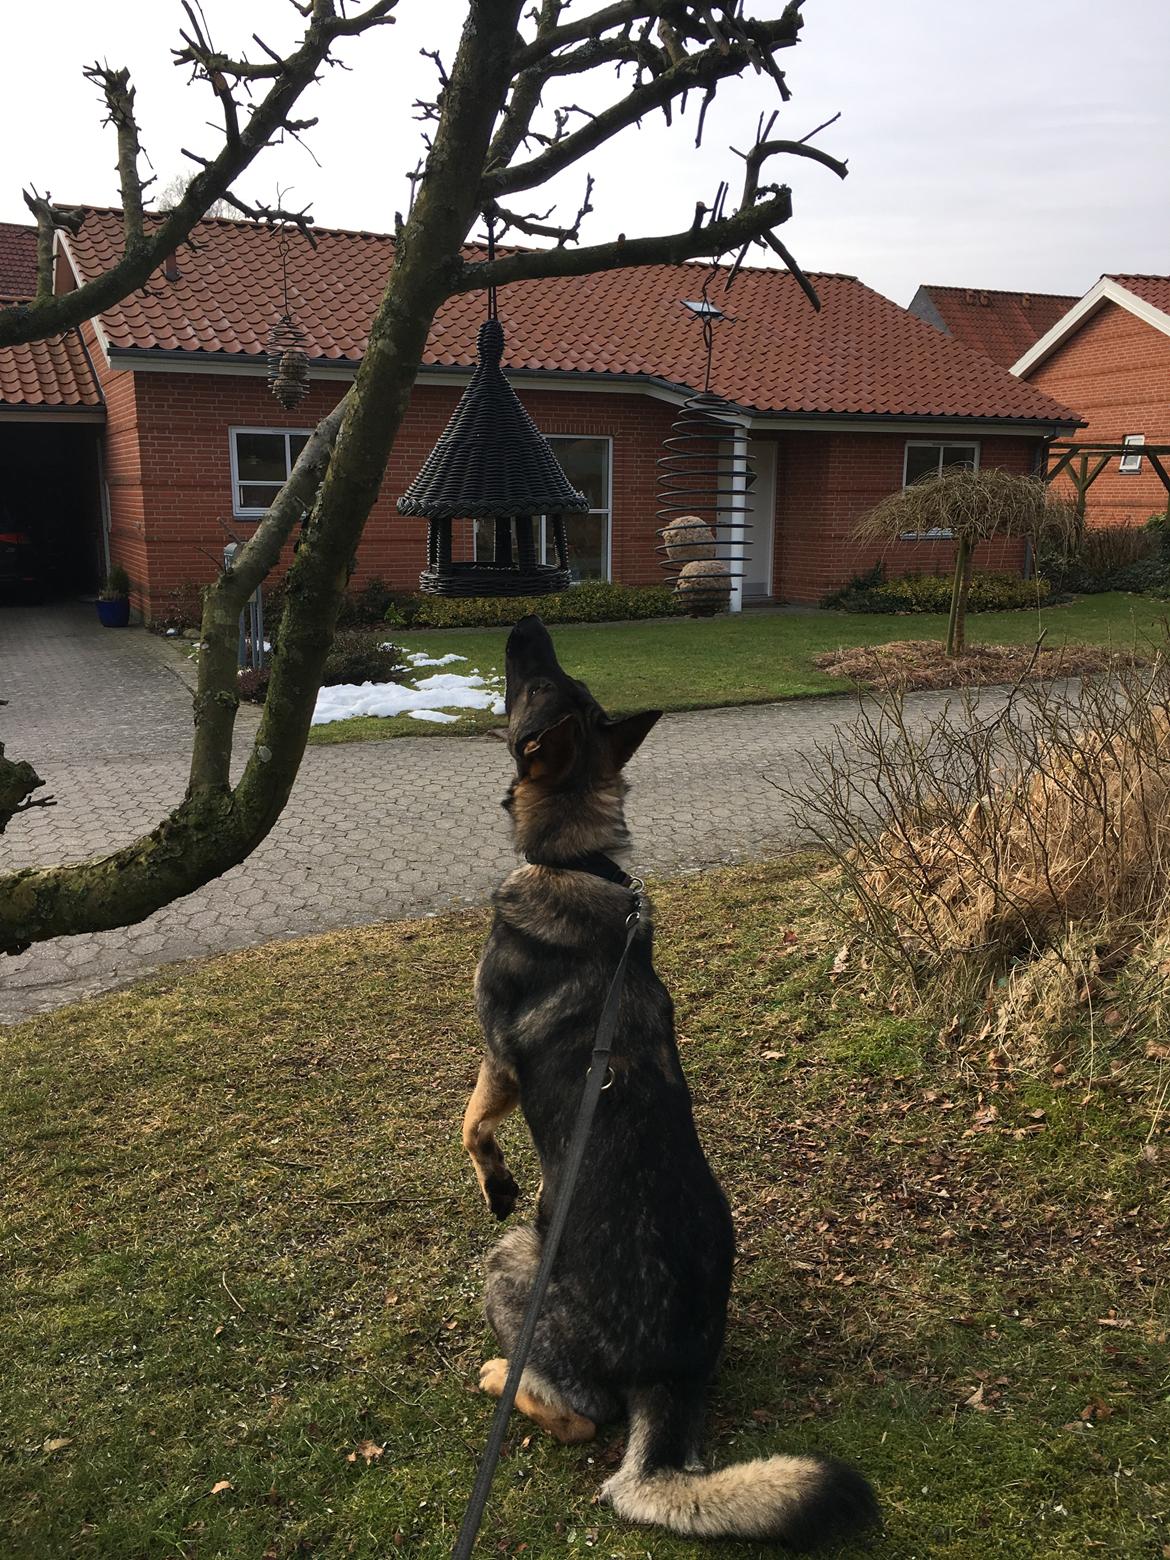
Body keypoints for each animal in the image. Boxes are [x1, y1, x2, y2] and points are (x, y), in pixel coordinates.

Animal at [461, 614, 873, 1541]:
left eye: (537, 686)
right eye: (564, 681)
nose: (528, 621)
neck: (578, 860)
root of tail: (666, 1375)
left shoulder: (497, 1059)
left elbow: (470, 1122)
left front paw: (494, 1177)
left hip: (513, 1263)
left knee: (583, 1418)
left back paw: (503, 1379)